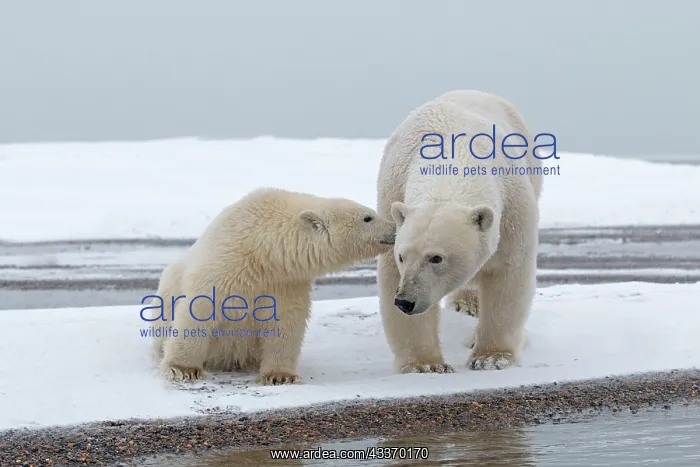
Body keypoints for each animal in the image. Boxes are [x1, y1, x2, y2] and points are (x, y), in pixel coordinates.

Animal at [147, 187, 396, 385]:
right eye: (367, 217)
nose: (394, 229)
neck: (263, 252)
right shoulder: (226, 263)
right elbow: (201, 308)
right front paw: (182, 369)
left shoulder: (285, 281)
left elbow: (285, 322)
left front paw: (280, 376)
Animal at [376, 89, 543, 373]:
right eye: (402, 256)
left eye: (436, 257)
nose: (406, 301)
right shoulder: (392, 196)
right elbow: (390, 278)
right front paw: (425, 365)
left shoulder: (512, 209)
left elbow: (507, 277)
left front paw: (491, 358)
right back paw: (466, 304)